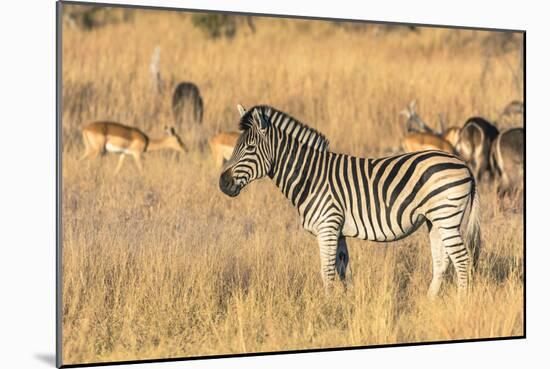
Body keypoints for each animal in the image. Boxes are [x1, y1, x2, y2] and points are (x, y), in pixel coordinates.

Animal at [221, 104, 484, 296]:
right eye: (235, 146)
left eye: (250, 148)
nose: (222, 183)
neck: (311, 176)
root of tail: (464, 164)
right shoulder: (338, 231)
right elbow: (341, 269)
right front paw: (346, 302)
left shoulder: (327, 226)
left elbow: (326, 271)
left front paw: (326, 307)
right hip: (436, 219)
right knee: (442, 261)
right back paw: (429, 301)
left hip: (446, 215)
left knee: (461, 259)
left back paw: (461, 302)